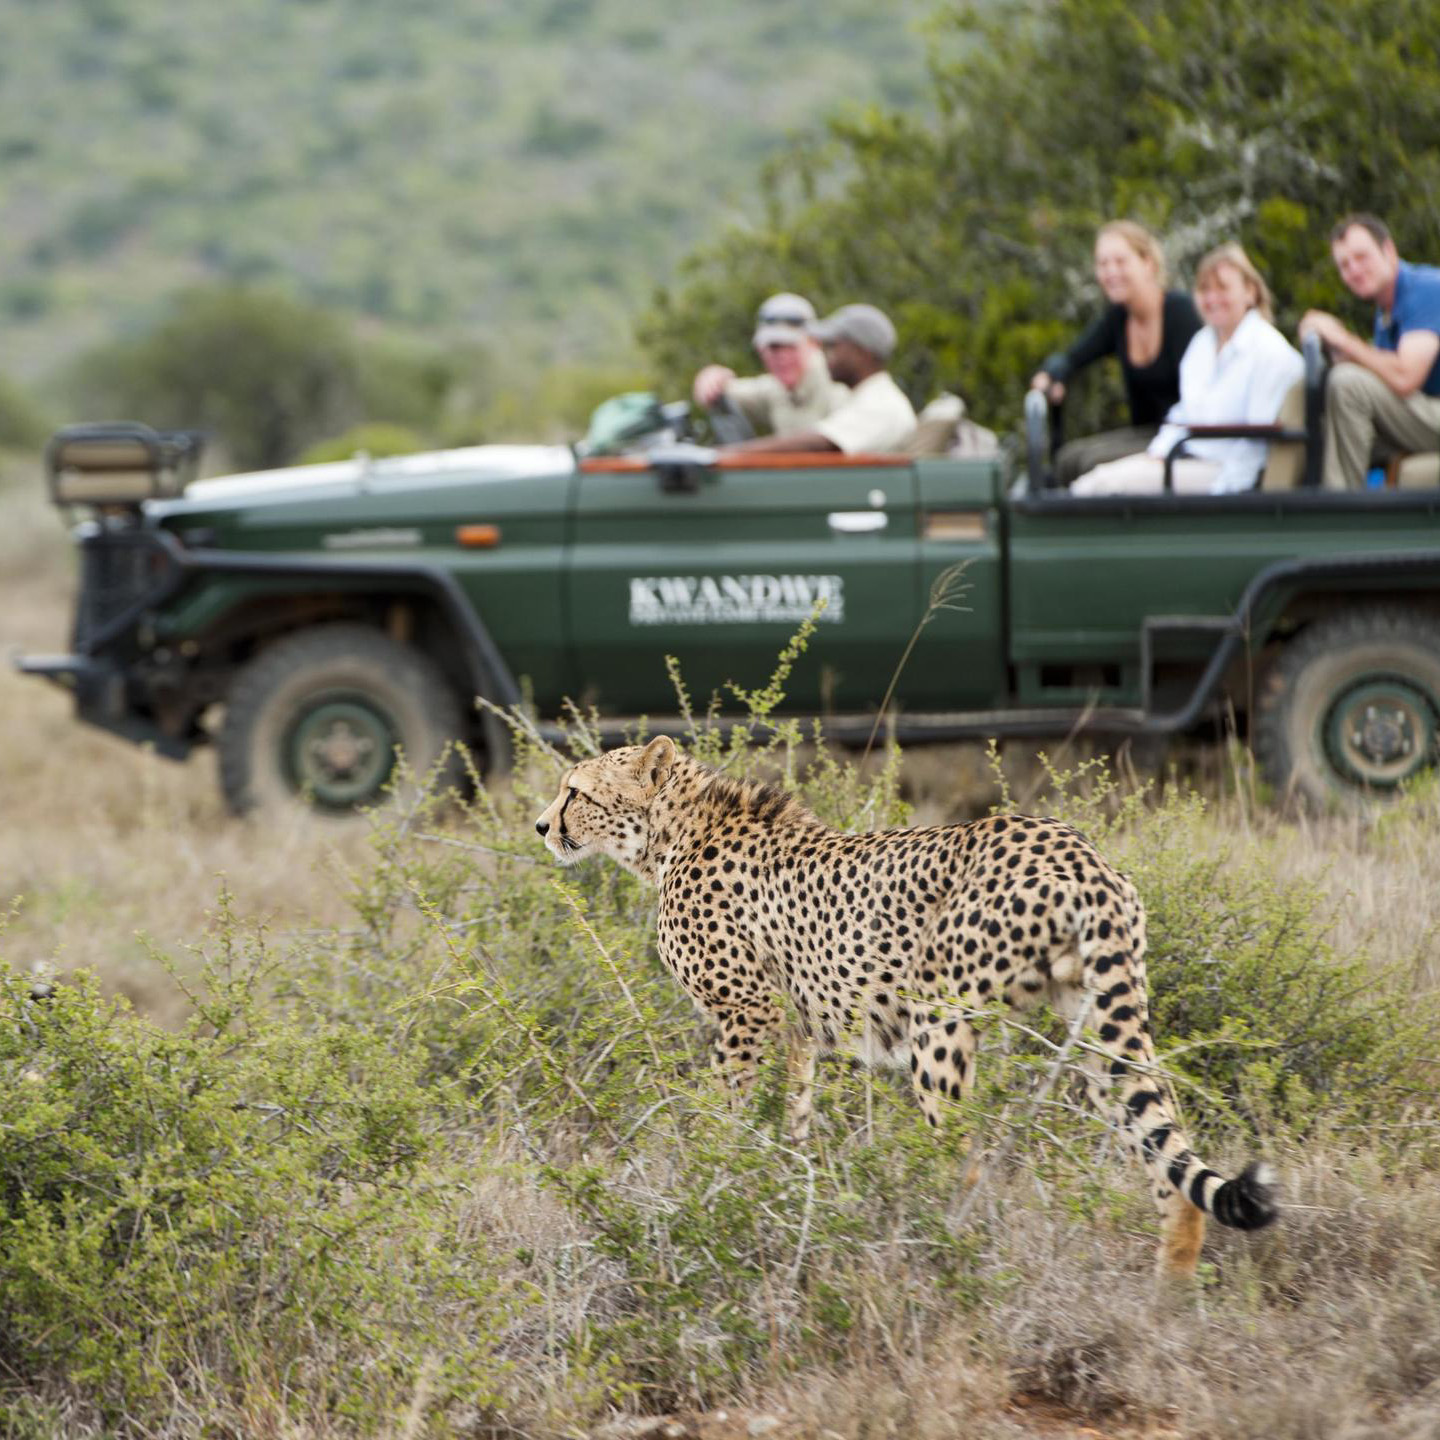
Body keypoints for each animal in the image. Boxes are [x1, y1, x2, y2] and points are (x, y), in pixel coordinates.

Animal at [535, 737, 1278, 1278]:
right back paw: (1168, 1298)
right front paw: (776, 1197)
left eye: (576, 791)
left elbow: (733, 1117)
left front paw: (718, 1185)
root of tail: (1074, 848)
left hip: (937, 1018)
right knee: (1164, 1149)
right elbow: (791, 1126)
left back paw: (933, 1244)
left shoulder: (747, 1014)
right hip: (1097, 1021)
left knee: (962, 1154)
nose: (542, 825)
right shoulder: (795, 1032)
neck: (671, 835)